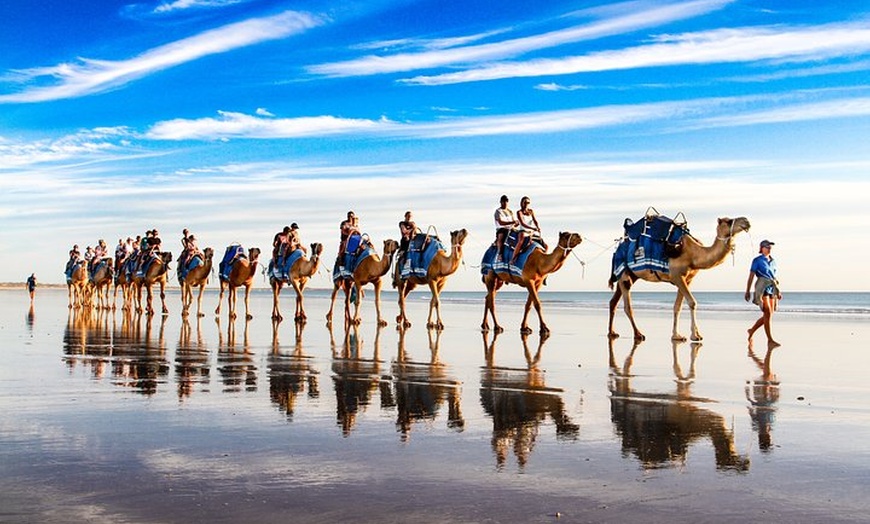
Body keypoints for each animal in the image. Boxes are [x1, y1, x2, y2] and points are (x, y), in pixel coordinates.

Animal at [608, 216, 752, 342]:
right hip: (624, 272)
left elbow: (677, 306)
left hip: (630, 275)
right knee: (627, 306)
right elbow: (692, 302)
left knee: (613, 301)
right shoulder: (677, 275)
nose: (746, 221)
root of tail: (617, 249)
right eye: (729, 221)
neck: (694, 254)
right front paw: (695, 336)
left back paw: (612, 332)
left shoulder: (687, 279)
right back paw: (638, 334)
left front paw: (677, 335)